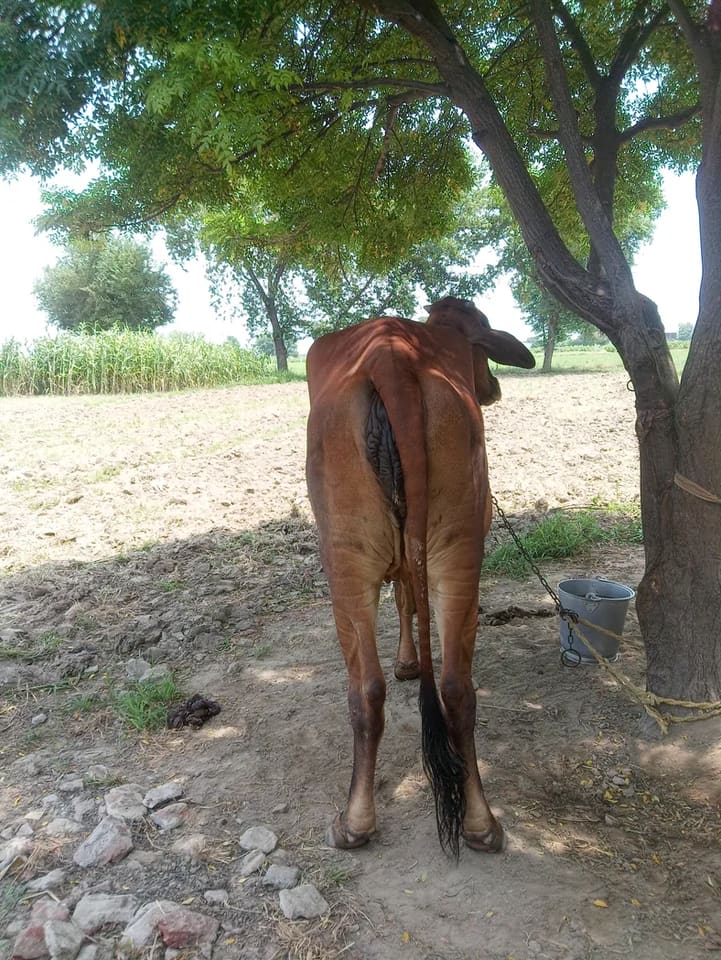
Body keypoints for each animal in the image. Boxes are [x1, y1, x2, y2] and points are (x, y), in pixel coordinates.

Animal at [305, 296, 535, 857]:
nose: (491, 387)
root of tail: (390, 354)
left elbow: (406, 601)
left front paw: (407, 662)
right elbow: (410, 601)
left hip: (348, 556)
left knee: (367, 687)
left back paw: (353, 822)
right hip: (455, 549)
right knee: (451, 686)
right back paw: (479, 824)